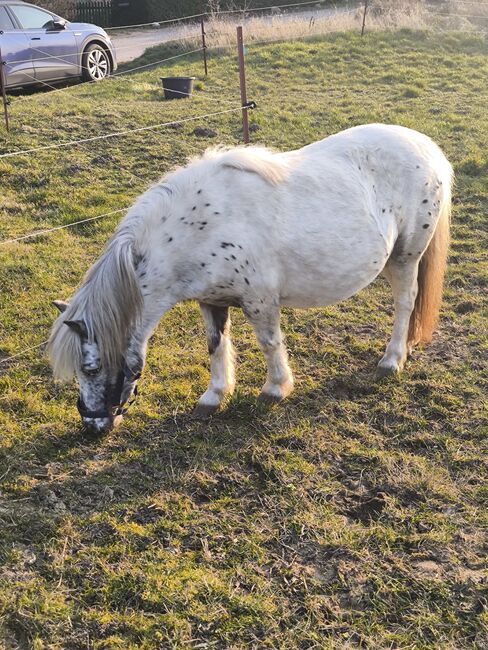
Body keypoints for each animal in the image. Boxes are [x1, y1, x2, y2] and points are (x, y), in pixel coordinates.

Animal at [47, 124, 452, 432]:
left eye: (91, 367)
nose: (92, 426)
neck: (197, 226)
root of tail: (426, 147)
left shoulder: (260, 301)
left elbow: (270, 343)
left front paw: (275, 389)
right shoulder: (210, 300)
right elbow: (215, 345)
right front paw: (213, 396)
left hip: (405, 258)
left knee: (405, 303)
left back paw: (392, 359)